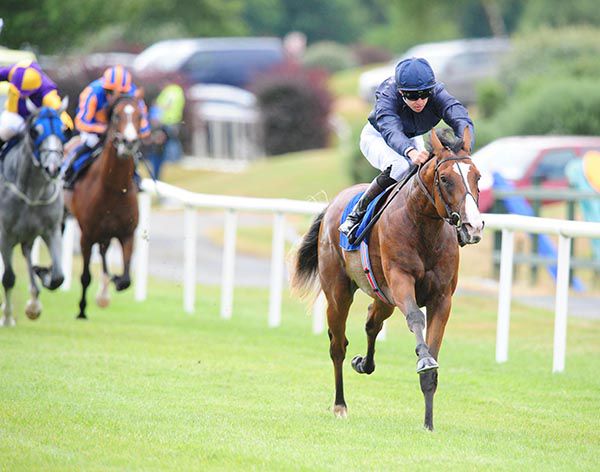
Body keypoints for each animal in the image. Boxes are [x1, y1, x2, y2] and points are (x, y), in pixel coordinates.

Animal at [0, 99, 68, 326]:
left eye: (64, 130)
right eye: (35, 131)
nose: (54, 168)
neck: (32, 192)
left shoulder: (51, 230)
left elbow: (58, 277)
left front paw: (43, 274)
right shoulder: (4, 233)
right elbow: (8, 278)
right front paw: (7, 317)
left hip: (27, 237)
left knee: (27, 254)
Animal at [63, 95, 144, 320]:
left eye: (140, 115)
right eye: (116, 115)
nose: (129, 142)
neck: (114, 189)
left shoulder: (127, 233)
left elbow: (125, 279)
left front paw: (114, 281)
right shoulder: (87, 235)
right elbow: (85, 276)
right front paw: (82, 310)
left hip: (106, 233)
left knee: (104, 251)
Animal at [290, 127, 482, 430]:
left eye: (478, 176)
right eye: (444, 178)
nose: (473, 226)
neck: (424, 229)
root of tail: (333, 204)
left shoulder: (441, 299)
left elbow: (432, 355)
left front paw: (428, 423)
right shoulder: (401, 282)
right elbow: (416, 319)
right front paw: (423, 359)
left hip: (383, 296)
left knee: (372, 322)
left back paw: (363, 363)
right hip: (339, 293)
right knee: (337, 346)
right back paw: (340, 405)